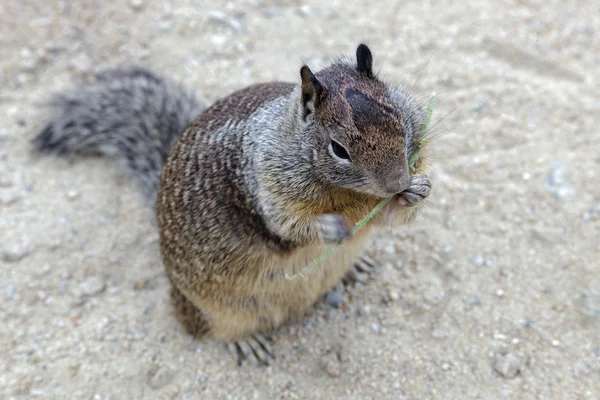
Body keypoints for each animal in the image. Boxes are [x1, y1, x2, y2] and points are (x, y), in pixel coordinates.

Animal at [35, 43, 432, 366]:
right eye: (339, 149)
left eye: (399, 118)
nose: (396, 183)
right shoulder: (267, 192)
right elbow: (290, 228)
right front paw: (331, 226)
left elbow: (386, 217)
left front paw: (417, 189)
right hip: (214, 311)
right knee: (210, 329)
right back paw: (246, 343)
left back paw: (355, 265)